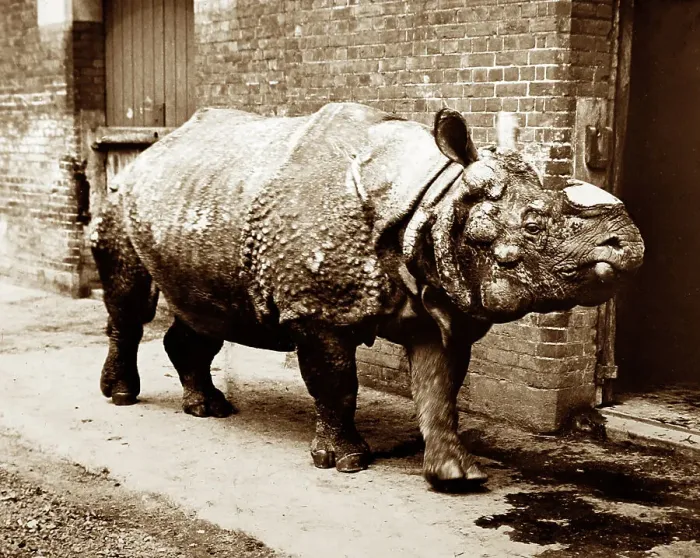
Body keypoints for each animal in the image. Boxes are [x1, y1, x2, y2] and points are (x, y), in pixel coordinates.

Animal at [90, 102, 644, 491]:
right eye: (533, 226)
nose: (628, 244)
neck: (433, 199)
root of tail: (152, 149)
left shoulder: (435, 304)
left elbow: (439, 389)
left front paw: (456, 476)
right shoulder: (318, 312)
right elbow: (338, 383)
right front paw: (347, 463)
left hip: (198, 203)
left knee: (208, 314)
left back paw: (209, 408)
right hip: (121, 194)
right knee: (130, 302)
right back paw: (122, 396)